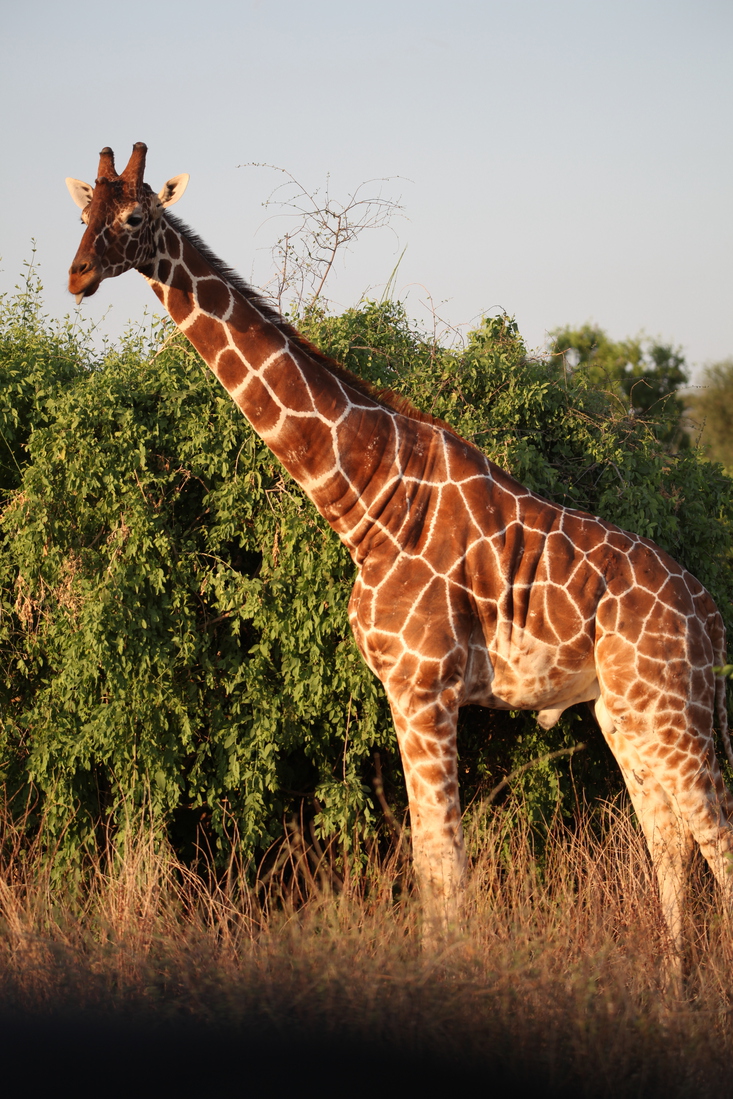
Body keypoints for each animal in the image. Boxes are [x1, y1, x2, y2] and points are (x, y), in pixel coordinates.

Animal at [67, 143, 733, 953]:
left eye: (134, 217)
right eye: (83, 214)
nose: (76, 275)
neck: (367, 501)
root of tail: (710, 615)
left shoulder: (425, 686)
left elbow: (444, 863)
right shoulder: (402, 689)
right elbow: (428, 858)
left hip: (674, 706)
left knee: (716, 839)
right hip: (626, 711)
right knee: (670, 844)